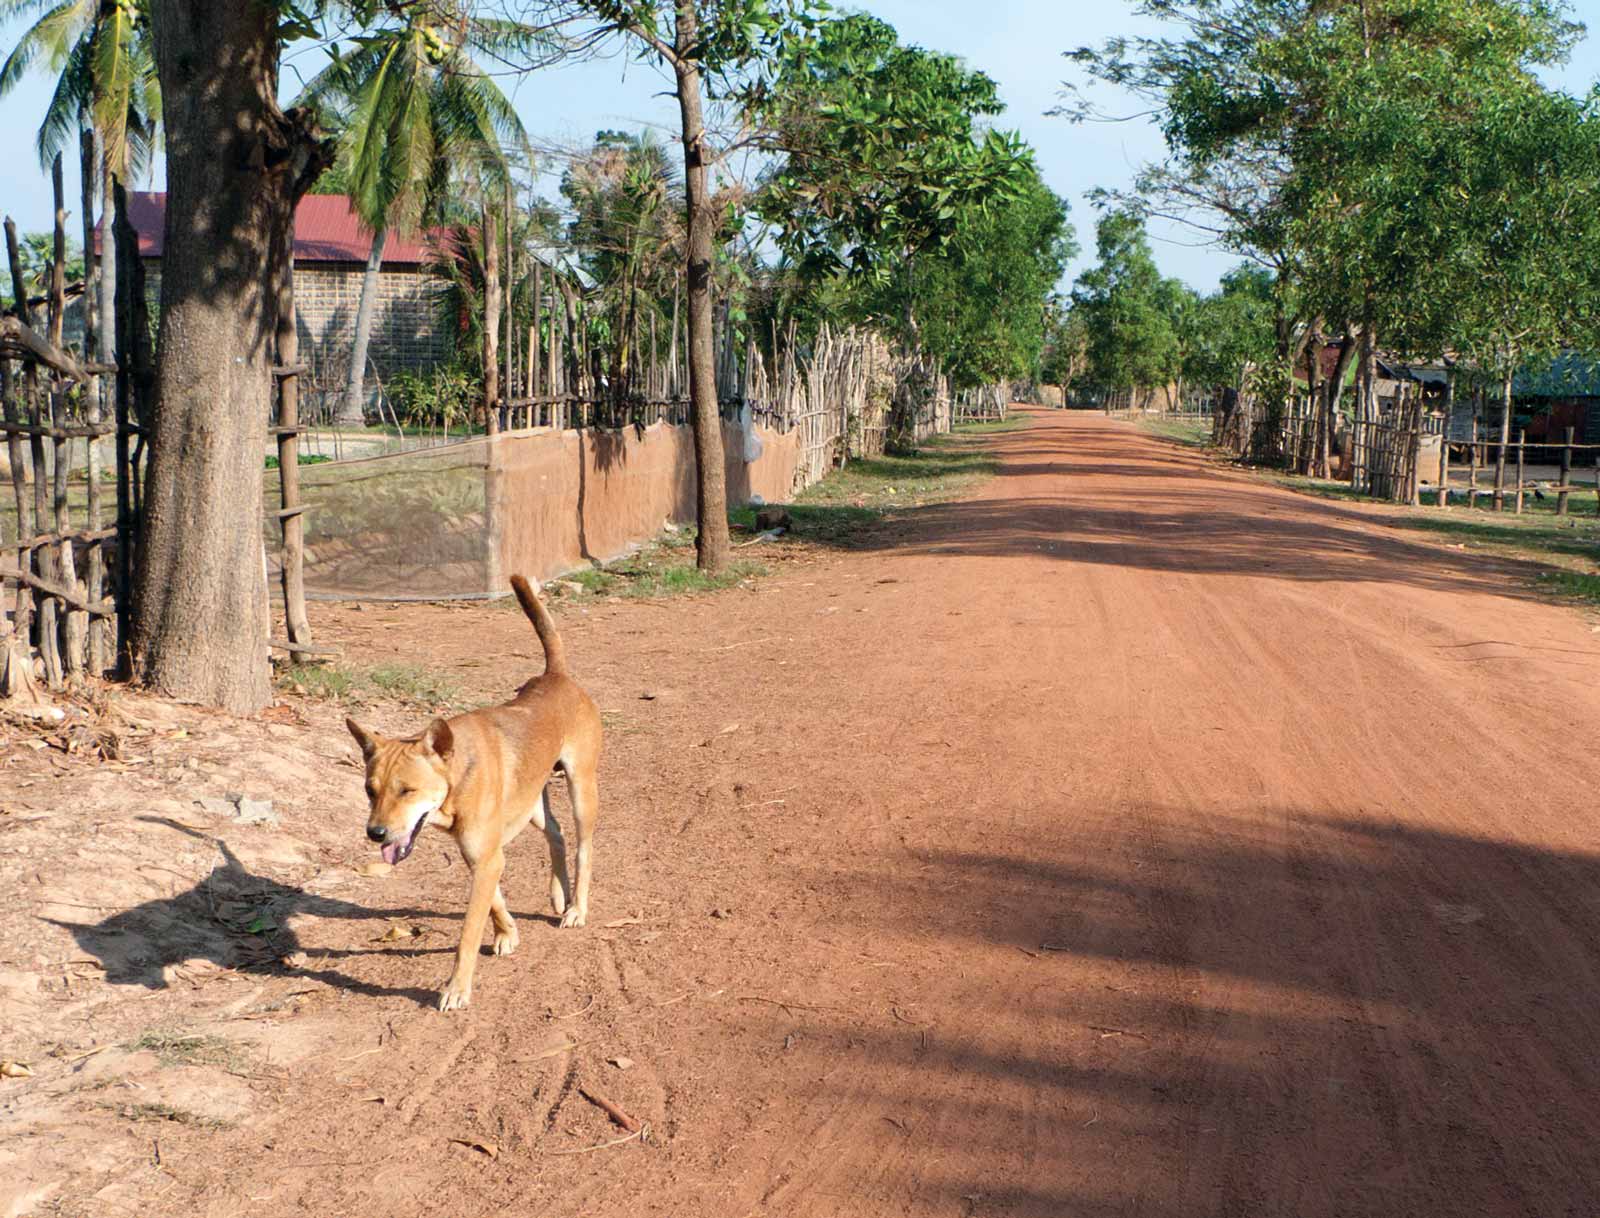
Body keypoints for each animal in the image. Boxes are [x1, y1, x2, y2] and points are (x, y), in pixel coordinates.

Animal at [347, 576, 601, 1011]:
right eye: (370, 790)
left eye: (407, 790)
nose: (375, 833)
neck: (457, 777)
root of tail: (556, 675)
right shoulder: (479, 855)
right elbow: (495, 900)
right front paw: (507, 932)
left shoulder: (485, 856)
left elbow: (467, 933)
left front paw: (456, 988)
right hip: (532, 800)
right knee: (557, 835)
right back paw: (558, 895)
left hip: (581, 788)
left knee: (583, 848)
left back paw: (576, 908)